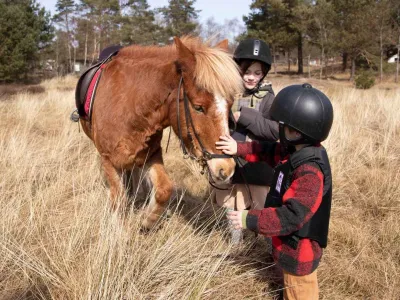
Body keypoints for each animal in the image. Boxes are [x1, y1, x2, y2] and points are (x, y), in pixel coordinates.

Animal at [78, 37, 241, 227]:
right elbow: (118, 199)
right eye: (198, 107)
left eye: (230, 105)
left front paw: (147, 221)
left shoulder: (151, 153)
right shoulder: (107, 160)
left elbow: (164, 189)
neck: (128, 105)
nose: (226, 169)